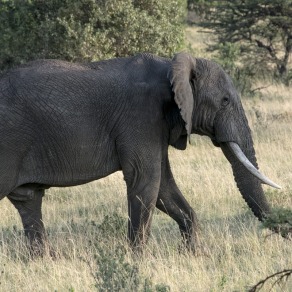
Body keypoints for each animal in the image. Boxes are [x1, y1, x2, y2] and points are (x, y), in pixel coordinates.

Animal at [0, 52, 282, 256]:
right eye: (224, 101)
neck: (172, 65)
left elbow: (164, 186)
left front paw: (194, 255)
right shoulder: (141, 116)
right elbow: (147, 181)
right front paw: (137, 261)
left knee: (29, 201)